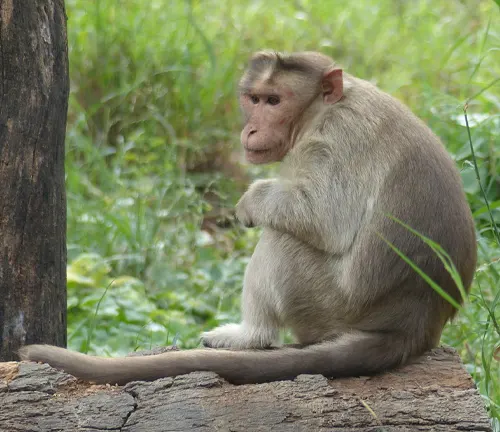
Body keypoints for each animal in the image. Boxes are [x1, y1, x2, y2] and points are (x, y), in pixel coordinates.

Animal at [18, 50, 476, 384]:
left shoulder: (334, 140)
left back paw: (250, 335)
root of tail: (415, 324)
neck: (322, 108)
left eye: (274, 101)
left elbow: (325, 219)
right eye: (254, 99)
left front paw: (252, 201)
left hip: (332, 308)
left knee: (281, 240)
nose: (251, 129)